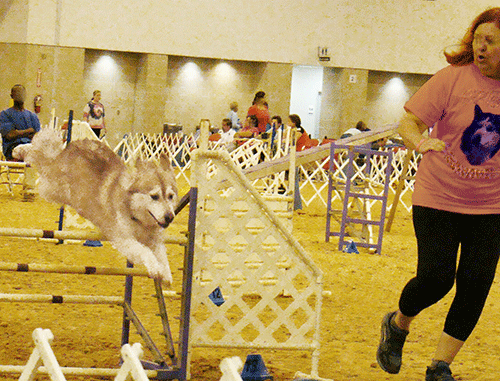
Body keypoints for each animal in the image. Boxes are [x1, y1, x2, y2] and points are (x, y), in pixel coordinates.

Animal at [26, 129, 178, 284]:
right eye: (154, 196)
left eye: (170, 196)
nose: (170, 217)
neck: (138, 218)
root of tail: (72, 145)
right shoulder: (123, 239)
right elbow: (144, 251)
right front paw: (155, 267)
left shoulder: (155, 240)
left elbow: (162, 255)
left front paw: (166, 273)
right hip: (51, 188)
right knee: (44, 161)